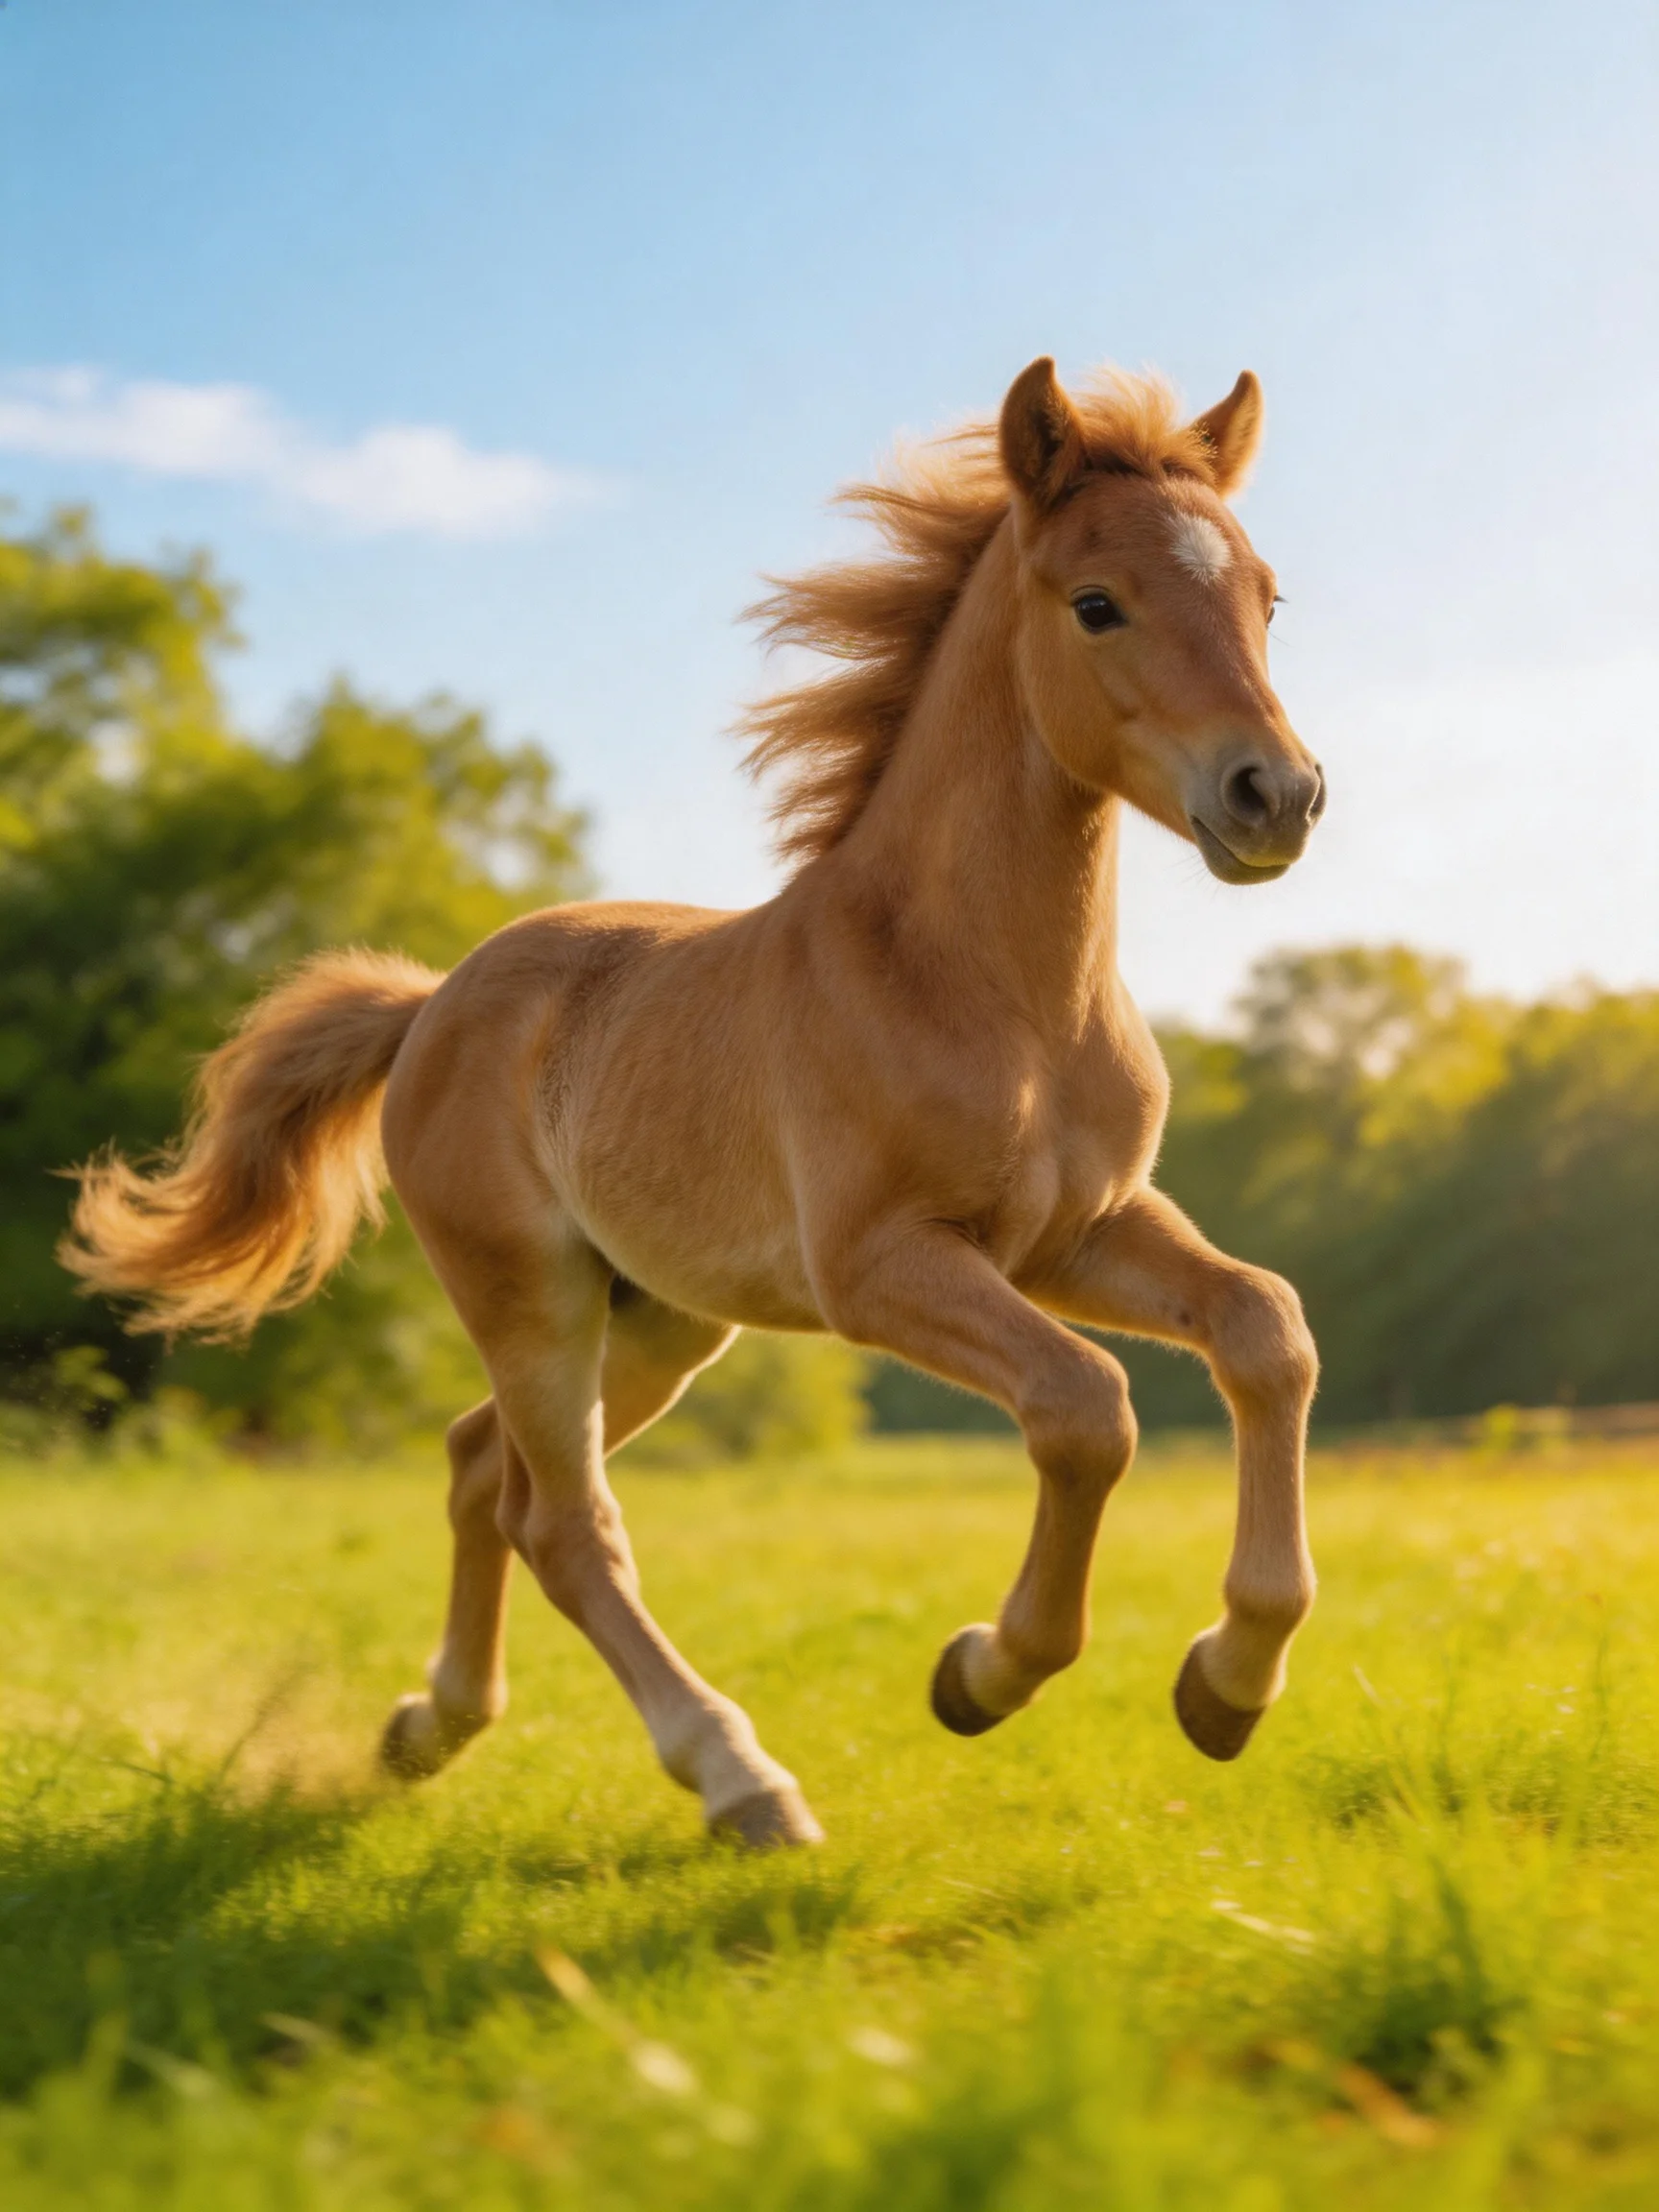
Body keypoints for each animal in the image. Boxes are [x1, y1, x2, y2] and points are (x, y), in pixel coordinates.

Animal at [64, 357, 1326, 1848]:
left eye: (1266, 597)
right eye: (1096, 603)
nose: (1276, 794)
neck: (989, 989)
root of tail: (428, 1007)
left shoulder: (1081, 1232)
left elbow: (1265, 1329)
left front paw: (1228, 1685)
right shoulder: (881, 1266)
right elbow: (1087, 1405)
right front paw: (984, 1671)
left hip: (661, 1320)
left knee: (484, 1469)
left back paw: (435, 1725)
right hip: (532, 1295)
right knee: (565, 1521)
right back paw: (741, 1778)